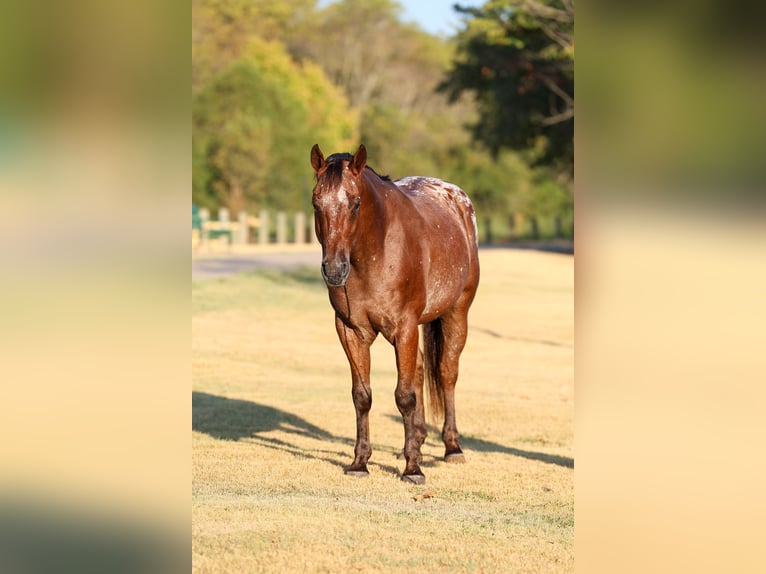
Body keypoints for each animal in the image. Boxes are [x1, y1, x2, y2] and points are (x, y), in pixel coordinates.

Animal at [310, 144, 480, 484]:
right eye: (315, 201)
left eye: (356, 202)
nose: (334, 270)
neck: (375, 253)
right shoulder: (350, 331)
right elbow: (362, 396)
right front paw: (360, 462)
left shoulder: (404, 328)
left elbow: (404, 396)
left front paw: (413, 469)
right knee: (420, 370)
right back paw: (416, 440)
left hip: (456, 313)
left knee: (446, 373)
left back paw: (452, 447)